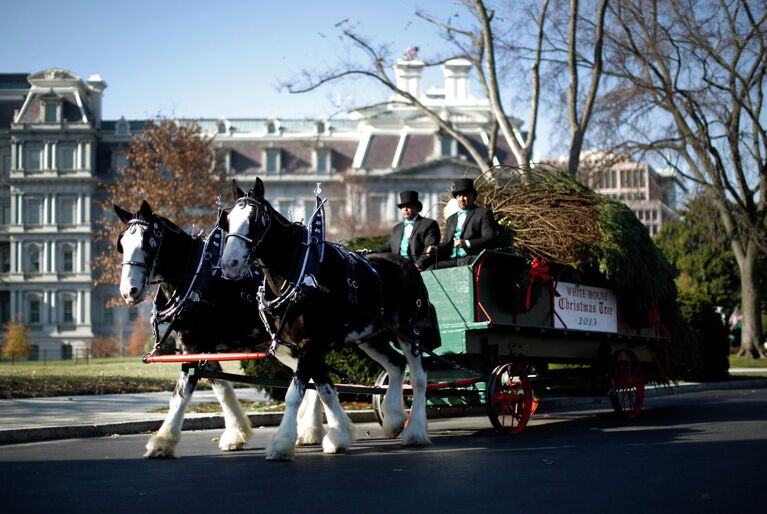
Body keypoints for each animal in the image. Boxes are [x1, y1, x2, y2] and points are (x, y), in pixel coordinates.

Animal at [115, 199, 326, 456]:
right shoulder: (200, 348)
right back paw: (308, 428)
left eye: (147, 242)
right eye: (122, 243)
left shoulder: (193, 346)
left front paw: (163, 441)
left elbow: (181, 394)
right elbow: (222, 388)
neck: (196, 281)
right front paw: (237, 433)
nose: (129, 291)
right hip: (284, 346)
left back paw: (309, 430)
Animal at [219, 178, 440, 458]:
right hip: (371, 337)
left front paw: (282, 443)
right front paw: (338, 435)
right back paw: (393, 418)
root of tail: (408, 263)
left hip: (410, 332)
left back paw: (416, 431)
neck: (301, 276)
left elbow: (295, 394)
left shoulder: (312, 344)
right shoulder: (307, 347)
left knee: (420, 377)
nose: (229, 264)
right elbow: (324, 389)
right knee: (396, 365)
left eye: (255, 219)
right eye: (227, 219)